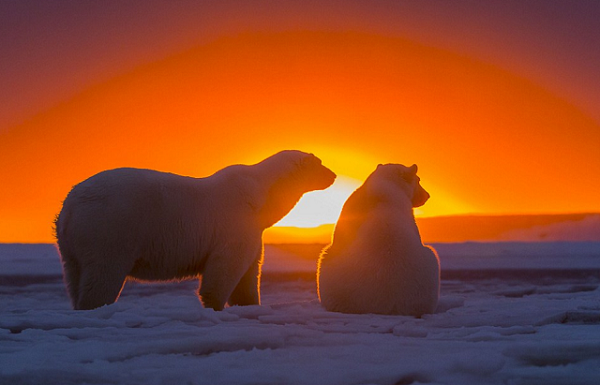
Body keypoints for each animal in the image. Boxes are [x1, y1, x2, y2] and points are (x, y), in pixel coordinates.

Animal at [55, 150, 338, 308]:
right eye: (320, 162)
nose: (334, 175)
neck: (261, 196)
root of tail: (70, 206)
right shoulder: (234, 224)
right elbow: (225, 269)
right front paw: (214, 305)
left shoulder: (253, 231)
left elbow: (249, 272)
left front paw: (249, 304)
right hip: (110, 228)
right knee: (104, 273)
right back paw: (95, 306)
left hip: (71, 245)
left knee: (74, 275)